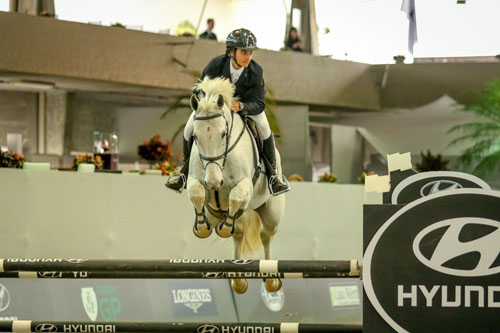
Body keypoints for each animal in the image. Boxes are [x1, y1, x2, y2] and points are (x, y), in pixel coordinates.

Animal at [186, 76, 286, 292]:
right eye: (195, 137)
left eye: (224, 134)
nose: (214, 182)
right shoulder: (195, 180)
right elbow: (197, 193)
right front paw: (202, 228)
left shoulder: (245, 185)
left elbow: (236, 196)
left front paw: (223, 228)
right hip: (215, 213)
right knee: (238, 233)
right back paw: (238, 279)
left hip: (272, 213)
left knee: (266, 234)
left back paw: (271, 278)